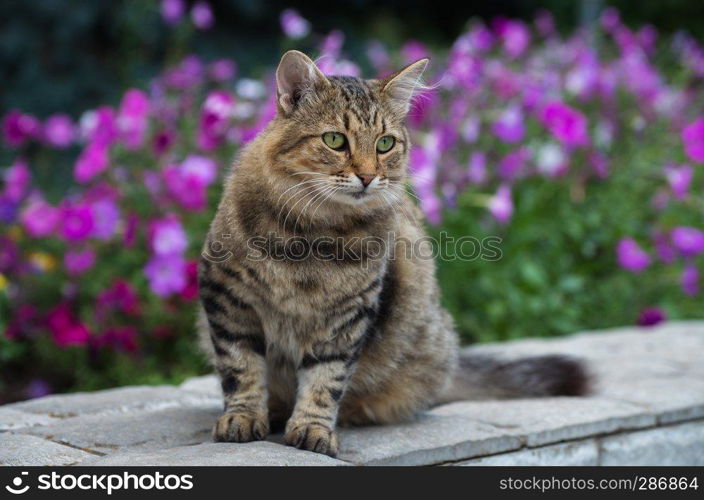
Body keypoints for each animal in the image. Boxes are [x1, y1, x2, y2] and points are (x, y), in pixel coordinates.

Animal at [198, 50, 588, 458]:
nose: (369, 176)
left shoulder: (347, 318)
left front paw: (312, 428)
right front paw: (242, 418)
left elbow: (324, 381)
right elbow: (241, 370)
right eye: (335, 140)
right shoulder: (228, 298)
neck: (312, 234)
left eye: (385, 143)